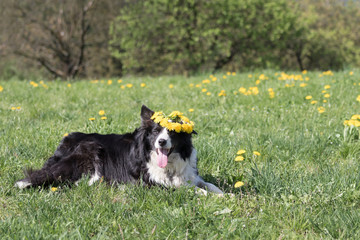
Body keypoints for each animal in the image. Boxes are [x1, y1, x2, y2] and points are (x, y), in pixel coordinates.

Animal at [15, 105, 224, 195]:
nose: (162, 142)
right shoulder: (153, 183)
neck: (170, 166)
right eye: (155, 131)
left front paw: (226, 195)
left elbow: (211, 186)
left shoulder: (190, 176)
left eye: (172, 132)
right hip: (91, 150)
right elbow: (197, 191)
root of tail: (66, 140)